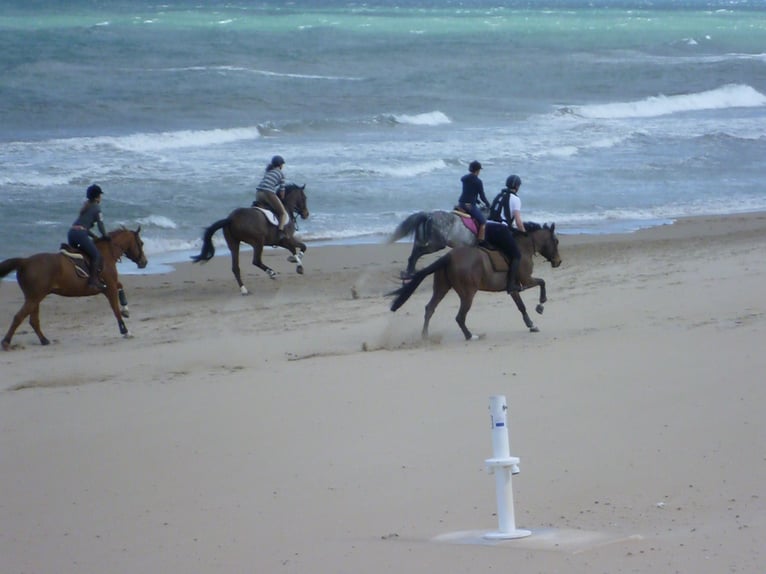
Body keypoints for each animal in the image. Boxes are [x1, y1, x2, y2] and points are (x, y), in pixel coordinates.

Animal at [0, 227, 148, 348]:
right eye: (141, 243)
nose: (144, 262)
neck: (107, 253)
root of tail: (25, 261)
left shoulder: (109, 285)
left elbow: (120, 287)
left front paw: (126, 309)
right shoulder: (109, 288)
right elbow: (115, 310)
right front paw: (125, 331)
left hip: (35, 298)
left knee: (33, 320)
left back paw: (44, 340)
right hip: (34, 297)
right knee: (19, 317)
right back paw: (6, 342)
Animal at [390, 224, 564, 342]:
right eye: (556, 241)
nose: (558, 262)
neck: (524, 247)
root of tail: (449, 256)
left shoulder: (513, 288)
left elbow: (521, 306)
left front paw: (531, 325)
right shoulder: (526, 279)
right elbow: (542, 282)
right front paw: (540, 305)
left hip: (441, 288)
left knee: (430, 309)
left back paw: (425, 336)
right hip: (467, 294)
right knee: (459, 317)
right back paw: (470, 336)